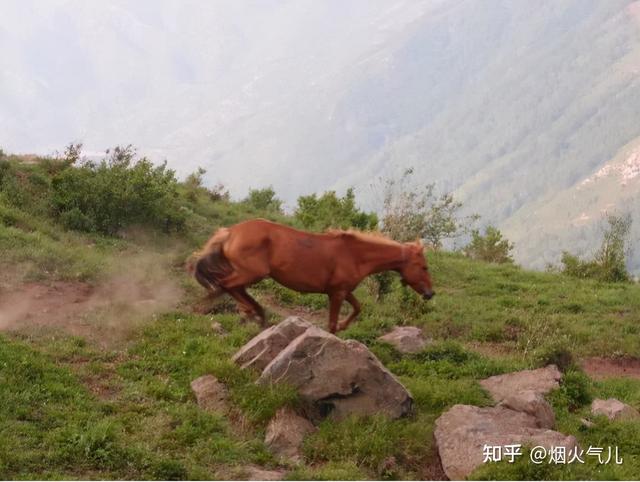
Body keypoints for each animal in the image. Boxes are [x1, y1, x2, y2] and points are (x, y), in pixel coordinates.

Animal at [189, 220, 436, 334]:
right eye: (424, 267)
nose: (430, 294)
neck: (355, 254)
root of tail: (230, 232)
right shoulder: (337, 293)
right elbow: (332, 324)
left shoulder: (342, 291)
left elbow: (357, 308)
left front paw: (345, 326)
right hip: (253, 273)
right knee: (225, 285)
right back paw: (252, 312)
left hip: (249, 273)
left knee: (233, 287)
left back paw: (256, 313)